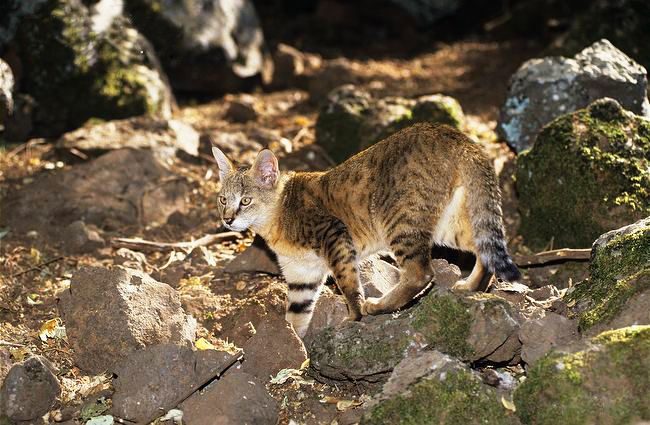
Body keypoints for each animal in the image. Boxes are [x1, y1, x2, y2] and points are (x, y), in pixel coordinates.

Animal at [215, 124, 520, 336]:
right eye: (222, 199)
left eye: (245, 201)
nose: (227, 220)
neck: (277, 216)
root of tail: (455, 134)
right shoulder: (302, 275)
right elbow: (296, 317)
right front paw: (295, 349)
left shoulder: (334, 234)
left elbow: (349, 285)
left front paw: (354, 317)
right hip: (450, 224)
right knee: (485, 251)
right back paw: (471, 286)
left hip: (399, 221)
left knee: (421, 273)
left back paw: (380, 305)